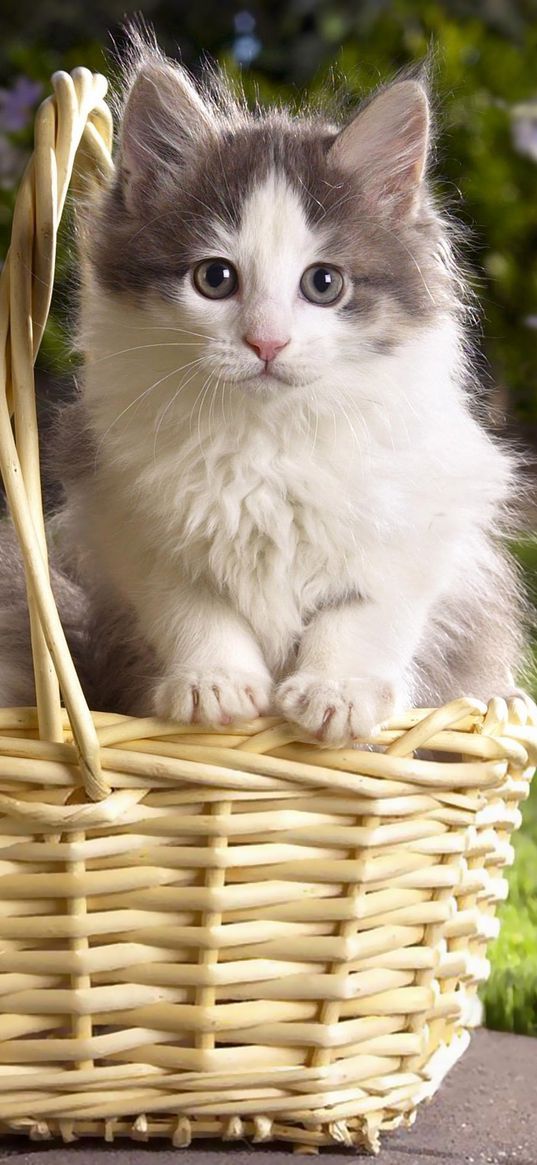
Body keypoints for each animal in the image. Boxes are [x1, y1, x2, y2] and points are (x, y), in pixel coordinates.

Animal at [0, 43, 526, 745]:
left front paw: (338, 692)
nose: (266, 343)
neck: (266, 437)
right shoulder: (130, 520)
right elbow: (193, 607)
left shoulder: (427, 520)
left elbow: (367, 608)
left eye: (324, 283)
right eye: (215, 278)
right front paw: (213, 684)